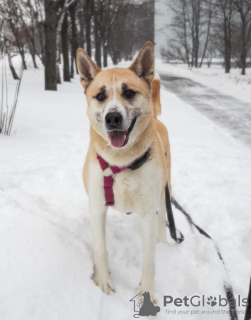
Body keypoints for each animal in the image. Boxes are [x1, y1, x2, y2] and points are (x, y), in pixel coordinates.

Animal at [75, 41, 172, 302]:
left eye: (129, 93)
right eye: (100, 96)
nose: (113, 118)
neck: (122, 163)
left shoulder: (148, 212)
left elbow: (149, 262)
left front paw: (146, 293)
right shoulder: (98, 205)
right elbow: (100, 248)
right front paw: (103, 281)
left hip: (164, 189)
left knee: (163, 217)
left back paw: (163, 241)